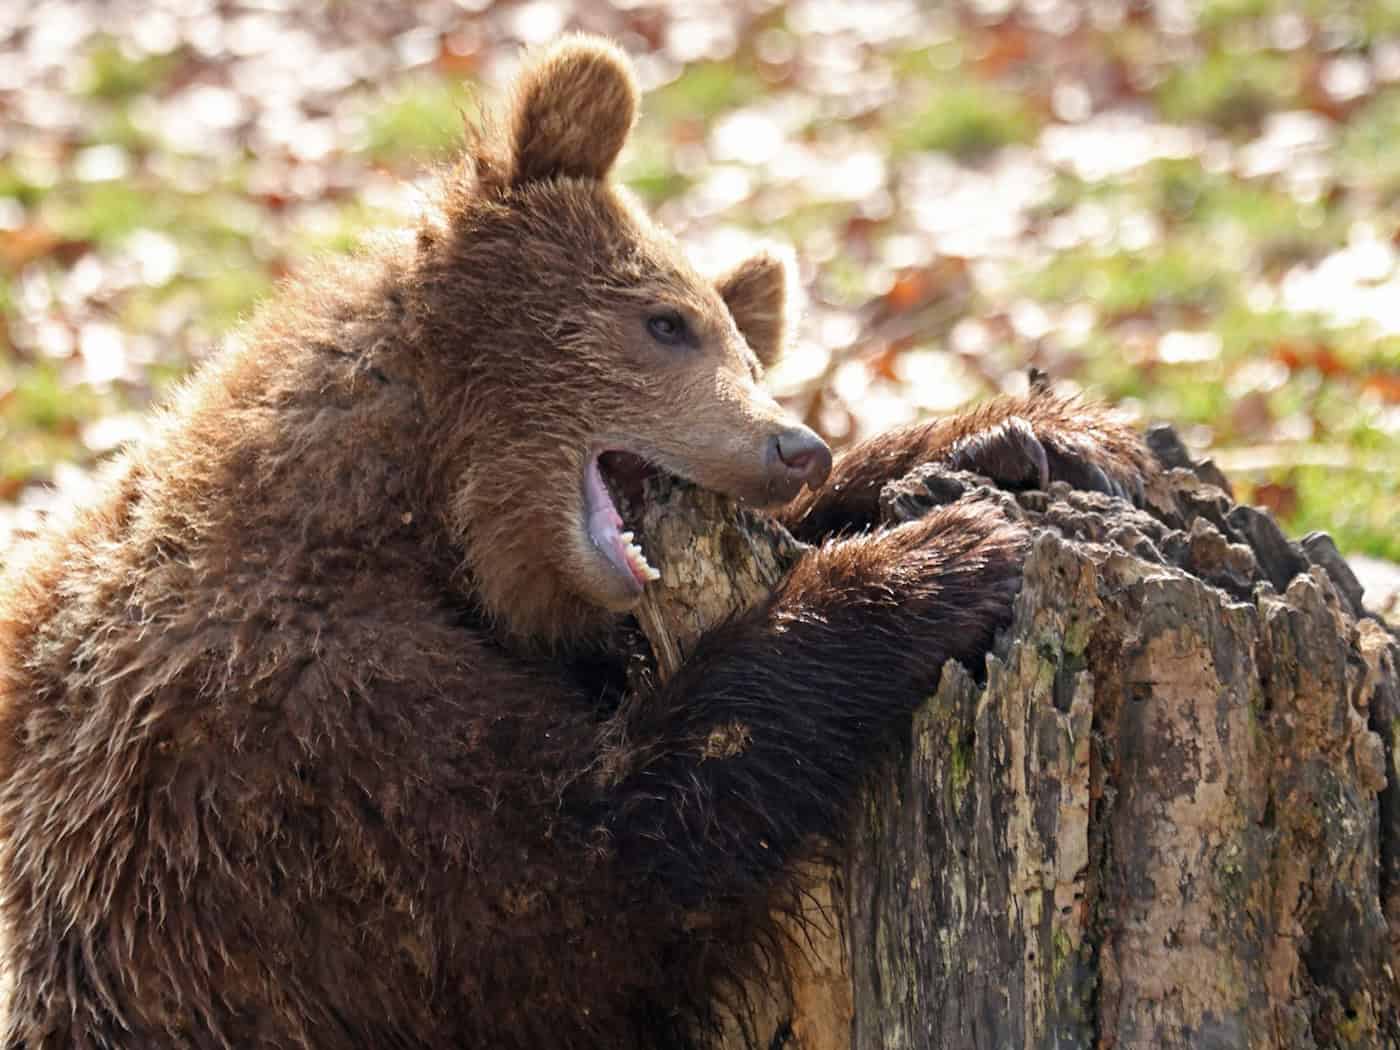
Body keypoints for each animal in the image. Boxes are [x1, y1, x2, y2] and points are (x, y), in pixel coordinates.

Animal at [0, 35, 1154, 1050]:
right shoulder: (283, 757)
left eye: (745, 351)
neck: (416, 512)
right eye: (664, 323)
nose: (797, 446)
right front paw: (940, 557)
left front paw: (1030, 441)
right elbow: (579, 864)